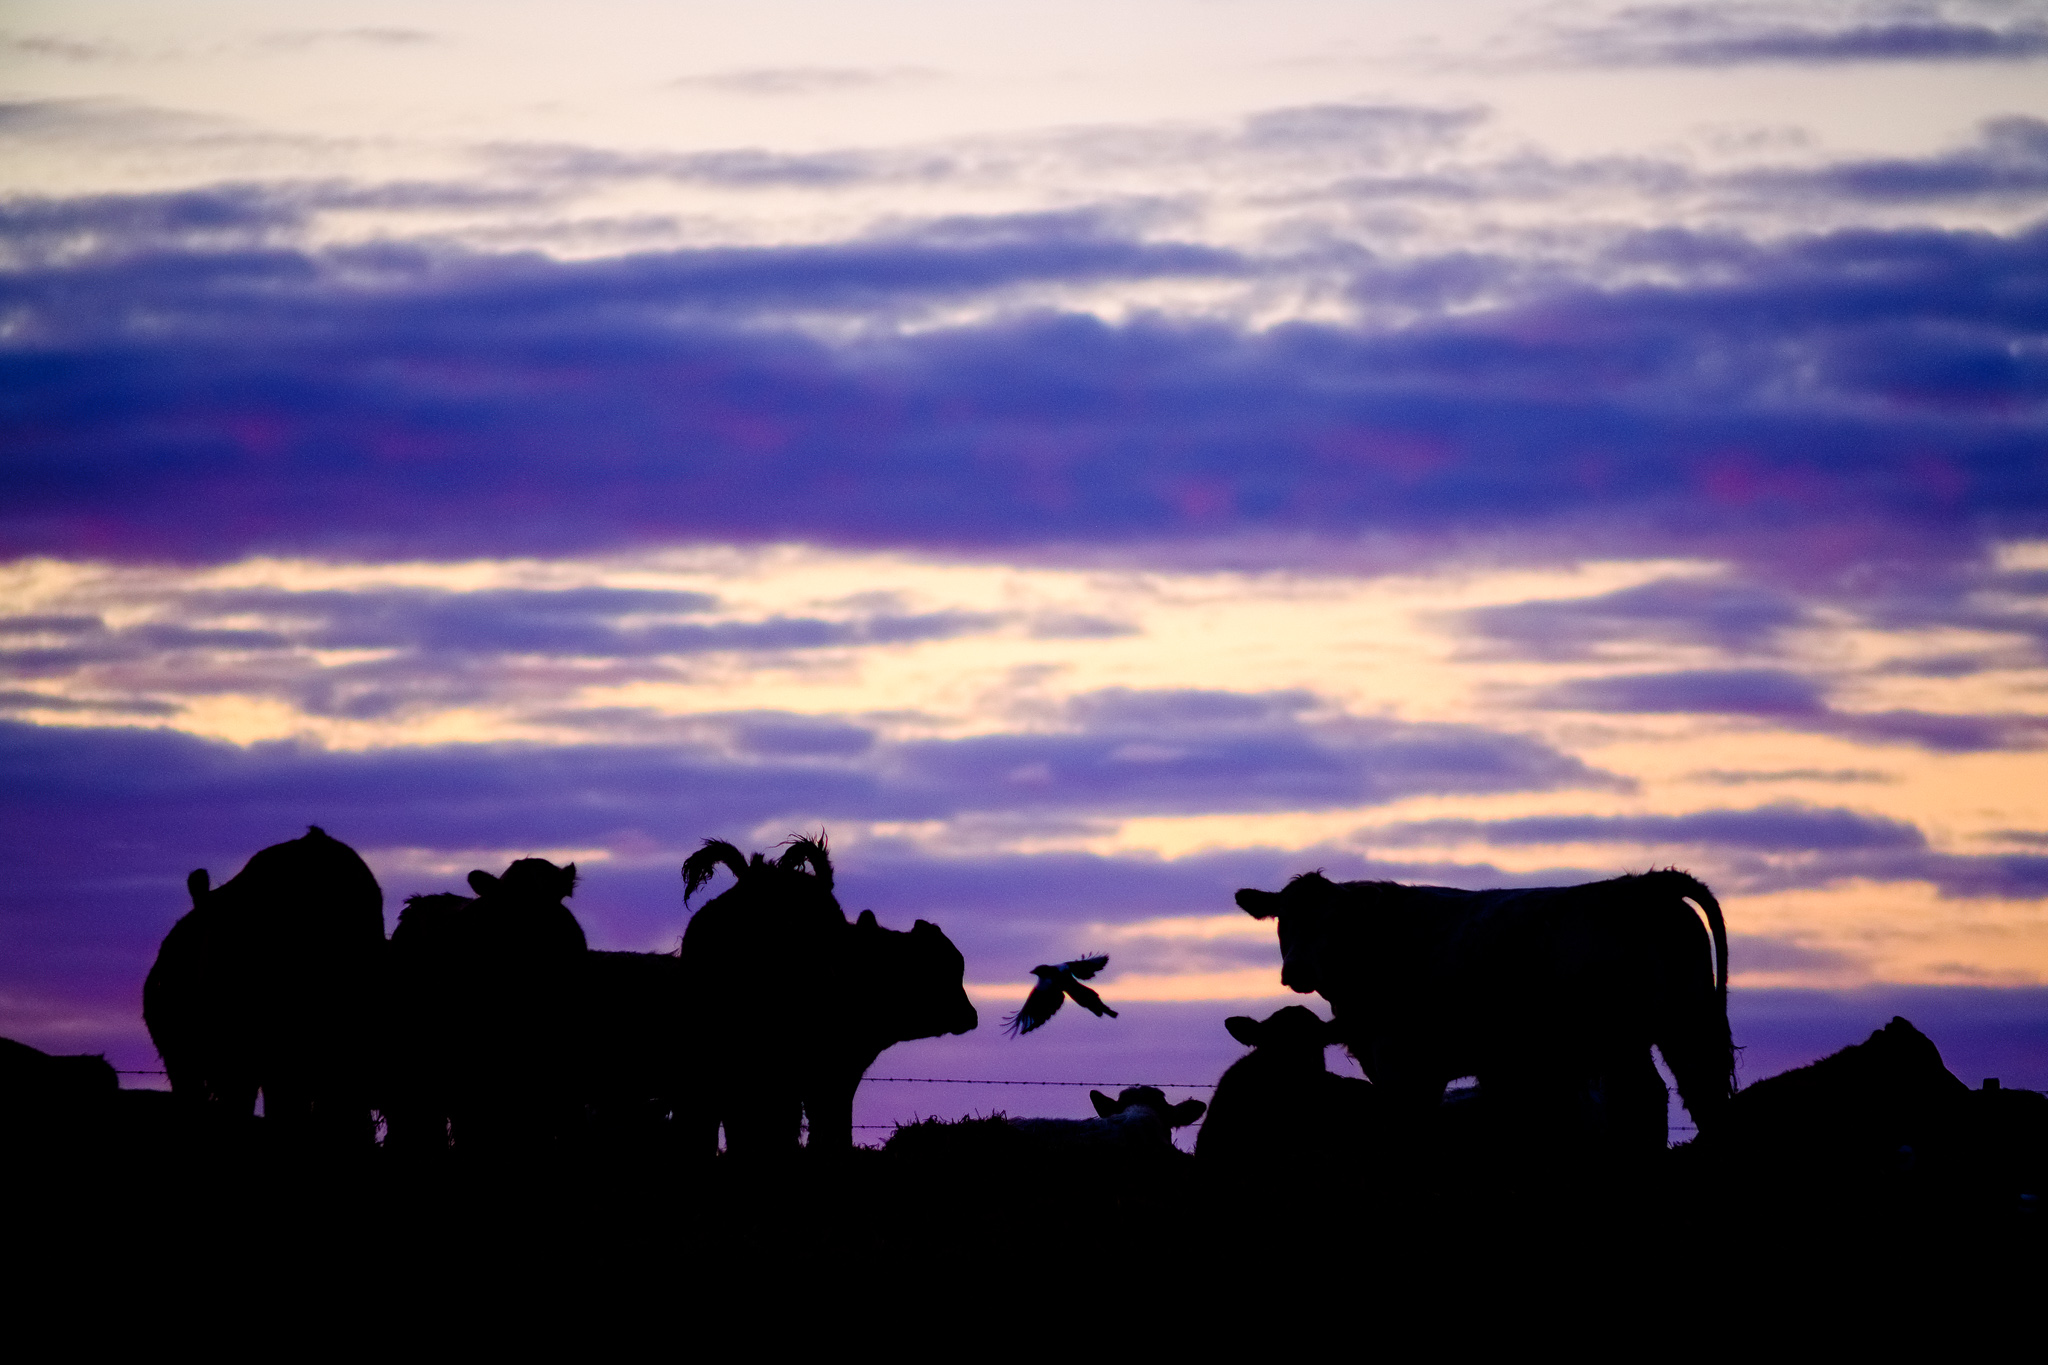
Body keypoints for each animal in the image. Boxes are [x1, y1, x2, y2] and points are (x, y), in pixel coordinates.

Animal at [1228, 863, 1728, 1154]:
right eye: (1284, 920)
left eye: (1334, 921)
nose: (1296, 969)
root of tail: (1643, 885)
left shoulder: (1401, 1061)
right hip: (1684, 1021)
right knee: (1696, 1095)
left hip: (1623, 1036)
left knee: (1649, 1097)